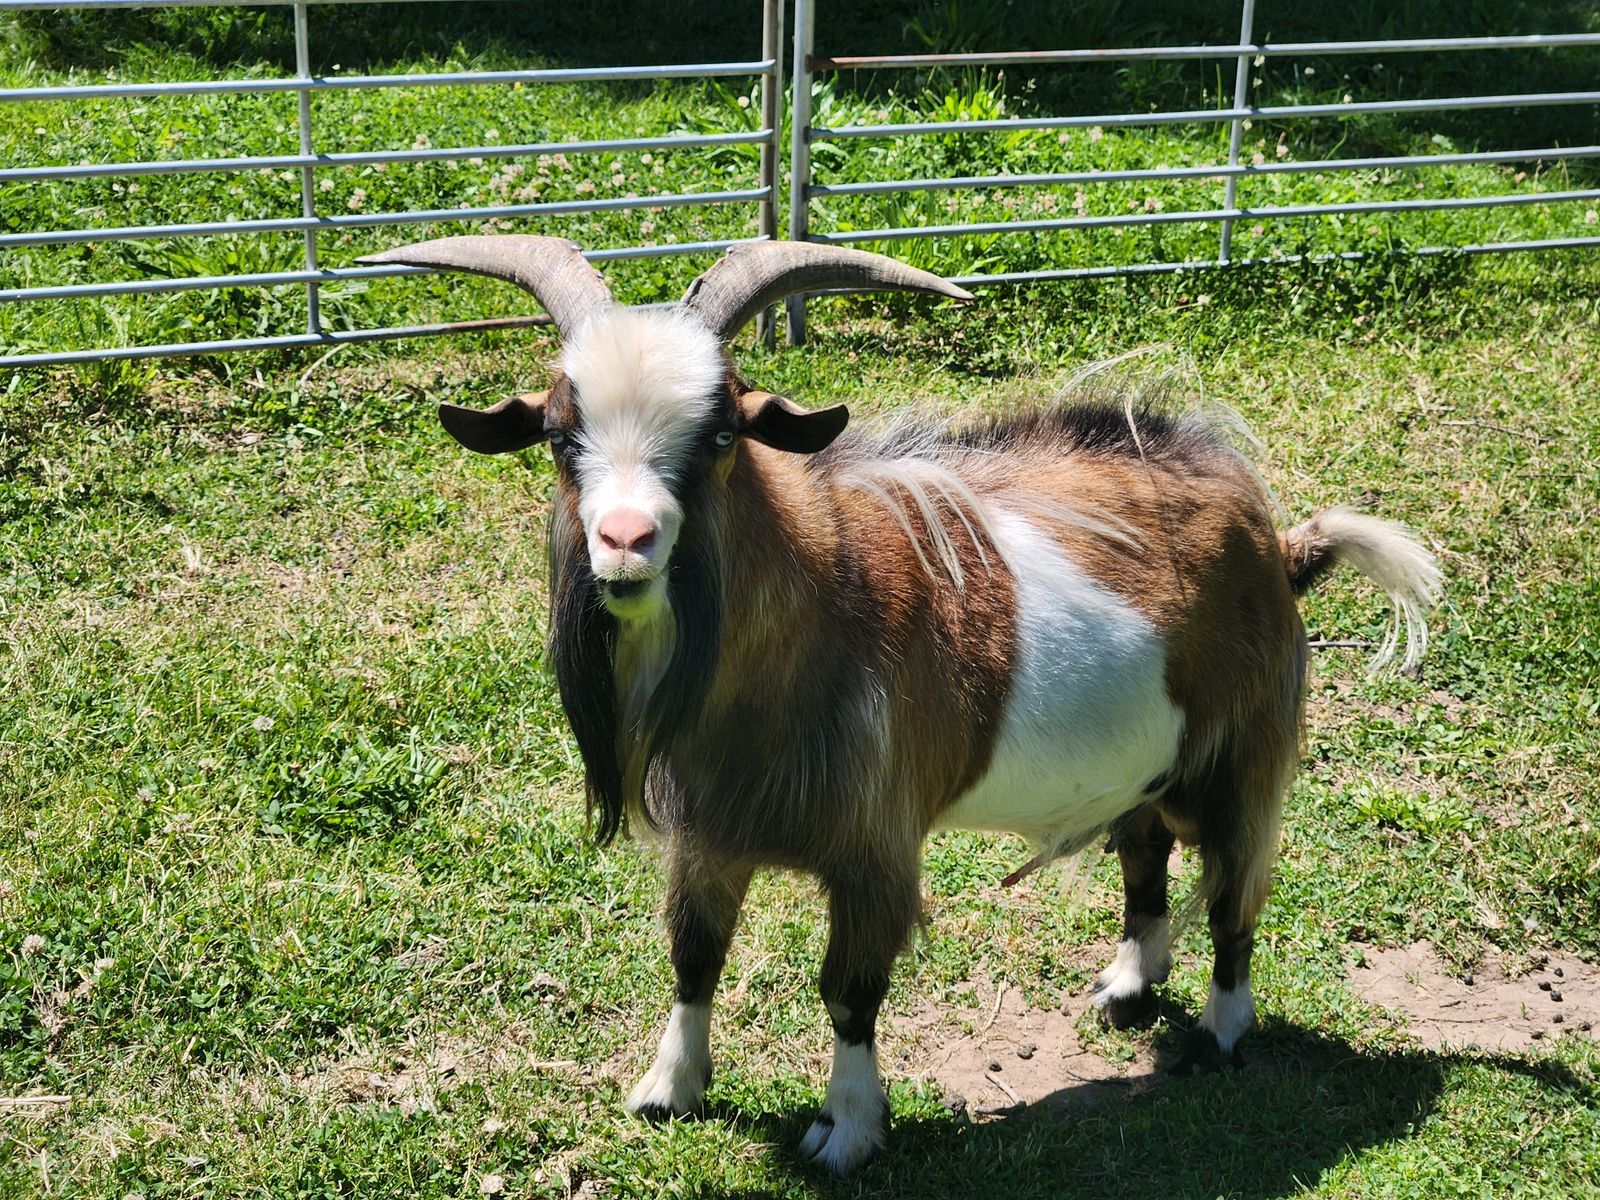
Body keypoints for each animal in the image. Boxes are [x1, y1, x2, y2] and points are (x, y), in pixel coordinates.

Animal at [362, 235, 1442, 1175]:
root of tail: (1278, 539)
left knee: (1233, 891)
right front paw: (668, 1088)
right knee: (1144, 858)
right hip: (1144, 760)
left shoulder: (874, 844)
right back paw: (1127, 988)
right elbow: (693, 957)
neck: (813, 616)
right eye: (558, 436)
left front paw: (846, 1132)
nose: (625, 541)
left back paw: (1220, 1031)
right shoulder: (710, 834)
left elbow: (848, 992)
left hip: (1242, 751)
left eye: (719, 434)